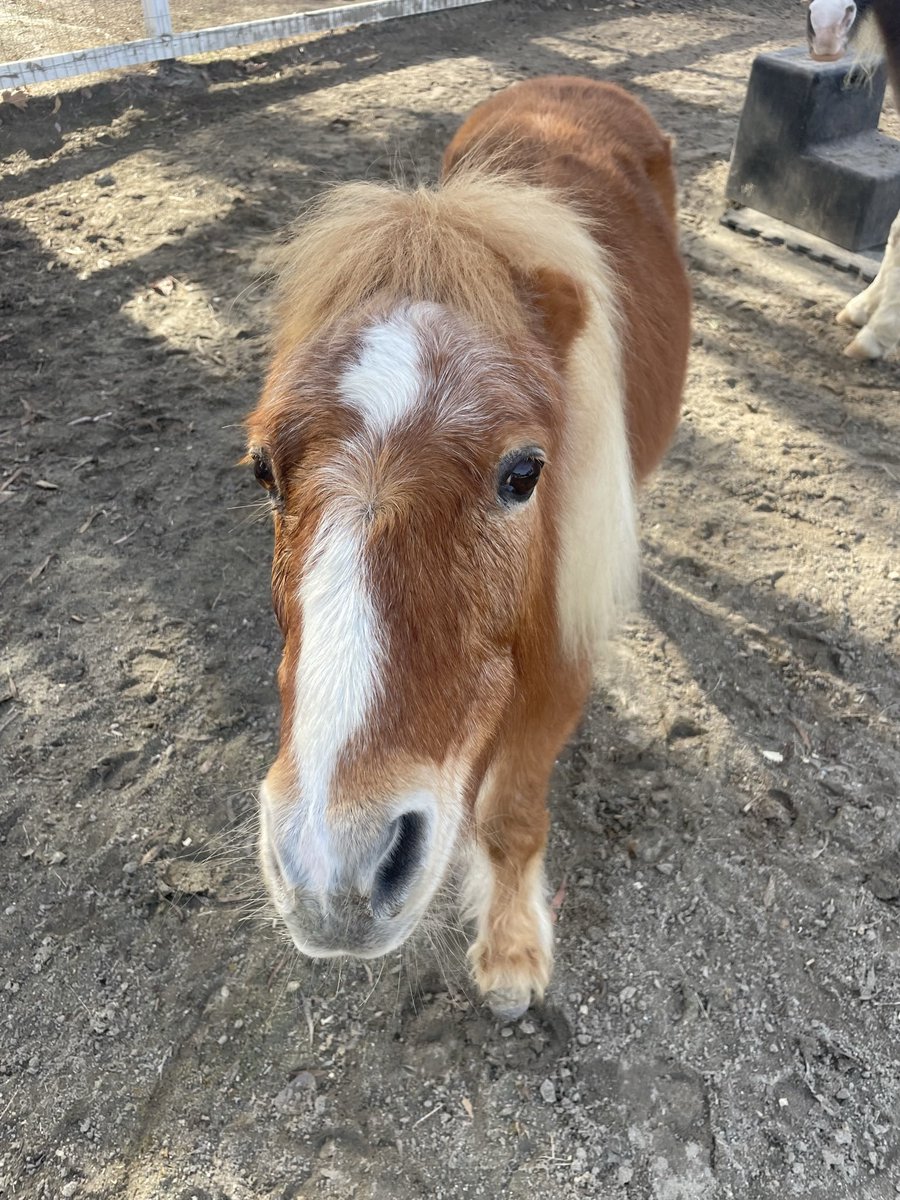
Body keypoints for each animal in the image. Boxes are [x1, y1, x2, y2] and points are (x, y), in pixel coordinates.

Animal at [245, 75, 690, 1018]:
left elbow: (509, 814)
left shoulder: (561, 665)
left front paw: (513, 950)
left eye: (524, 473)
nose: (335, 870)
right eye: (263, 469)